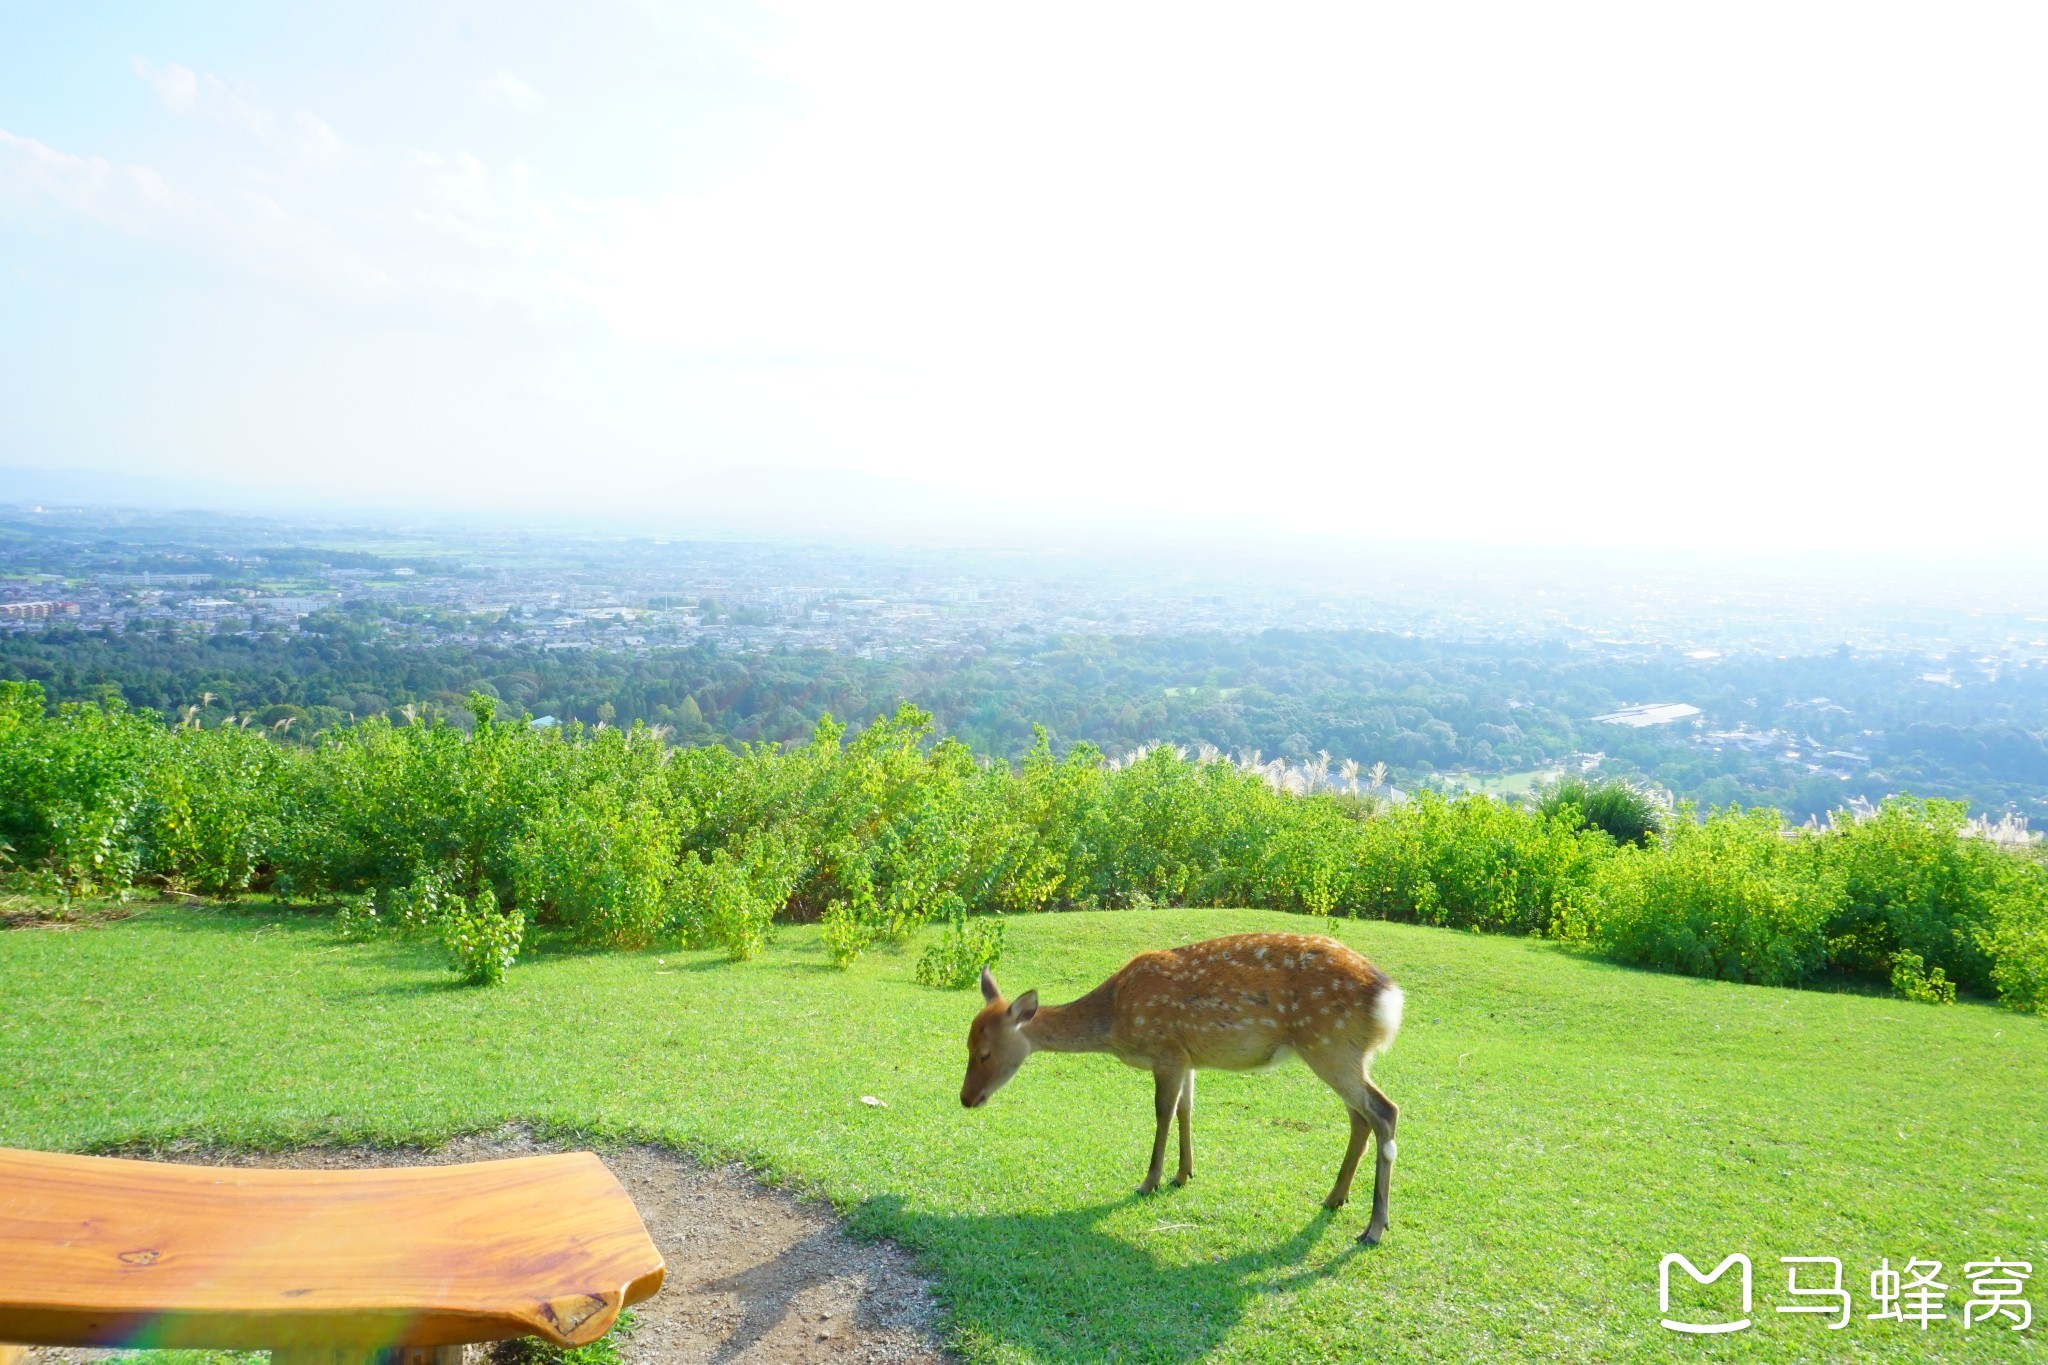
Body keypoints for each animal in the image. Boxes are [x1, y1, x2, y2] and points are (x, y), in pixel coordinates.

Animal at [958, 933, 1409, 1244]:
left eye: (984, 1053)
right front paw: (1184, 1173)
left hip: (1329, 1045)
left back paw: (1374, 1227)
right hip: (1341, 1053)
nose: (965, 1098)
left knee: (1384, 1111)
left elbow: (1162, 1112)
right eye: (967, 1043)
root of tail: (1388, 999)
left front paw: (1149, 1182)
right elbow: (1186, 1109)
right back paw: (1335, 1198)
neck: (1117, 1019)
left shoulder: (1167, 1052)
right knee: (1360, 1118)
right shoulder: (1188, 1058)